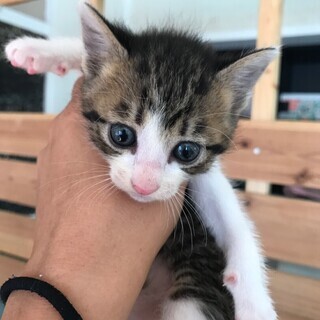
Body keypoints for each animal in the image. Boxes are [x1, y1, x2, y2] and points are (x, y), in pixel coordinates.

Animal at [6, 2, 278, 320]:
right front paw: (38, 50)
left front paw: (256, 302)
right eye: (121, 135)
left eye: (187, 151)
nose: (144, 185)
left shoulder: (202, 175)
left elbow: (230, 213)